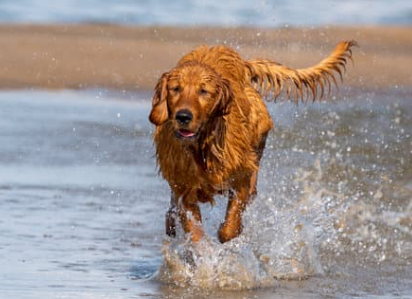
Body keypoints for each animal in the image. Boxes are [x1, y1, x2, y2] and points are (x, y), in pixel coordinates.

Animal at [150, 41, 356, 244]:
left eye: (203, 91)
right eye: (176, 89)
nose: (183, 116)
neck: (203, 148)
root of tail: (244, 64)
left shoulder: (240, 176)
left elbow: (230, 226)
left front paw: (230, 230)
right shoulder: (185, 188)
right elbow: (195, 234)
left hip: (259, 130)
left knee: (253, 174)